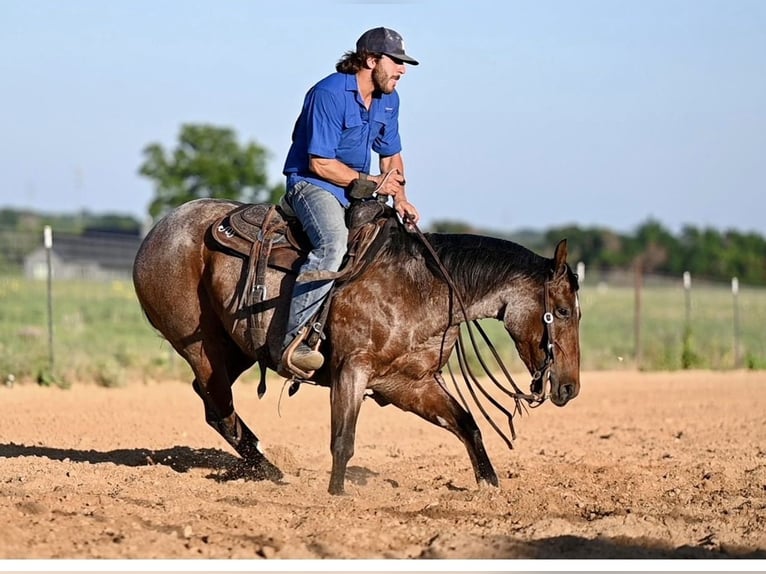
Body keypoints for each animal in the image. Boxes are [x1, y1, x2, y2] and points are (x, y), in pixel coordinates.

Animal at [132, 198, 581, 495]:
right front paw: (336, 497)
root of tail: (162, 227)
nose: (569, 387)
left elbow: (468, 425)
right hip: (202, 345)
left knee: (213, 401)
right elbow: (342, 440)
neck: (423, 286)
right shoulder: (353, 369)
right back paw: (269, 469)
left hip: (238, 347)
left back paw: (266, 467)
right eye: (560, 311)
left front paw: (491, 488)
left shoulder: (409, 383)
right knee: (219, 407)